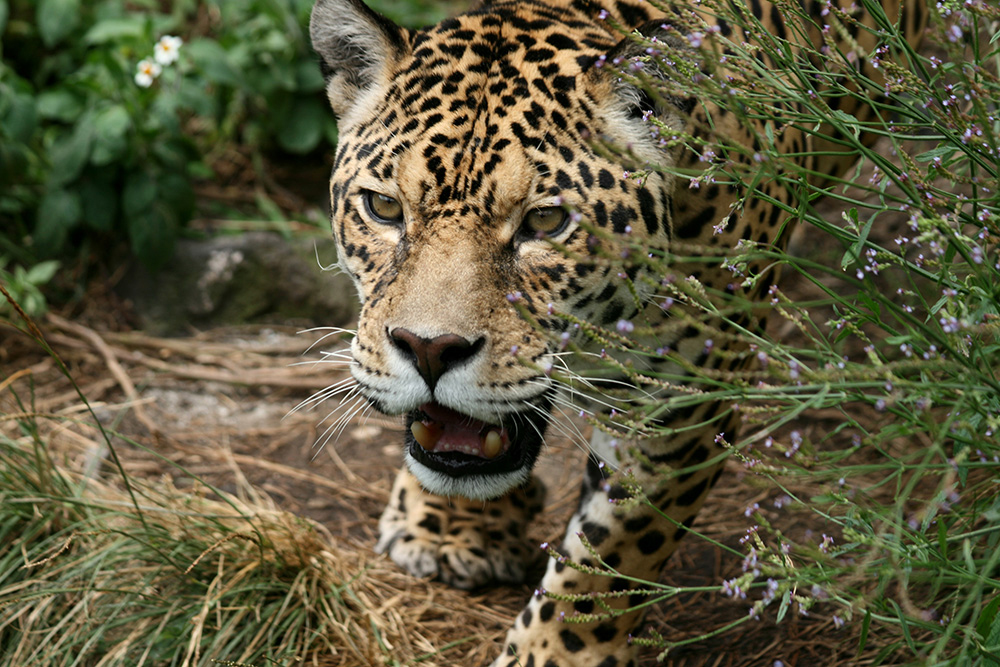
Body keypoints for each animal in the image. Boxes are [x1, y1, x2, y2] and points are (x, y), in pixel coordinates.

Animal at [308, 0, 927, 664]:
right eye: (385, 209)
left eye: (546, 222)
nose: (429, 349)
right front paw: (448, 528)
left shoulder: (682, 403)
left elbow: (612, 552)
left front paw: (552, 653)